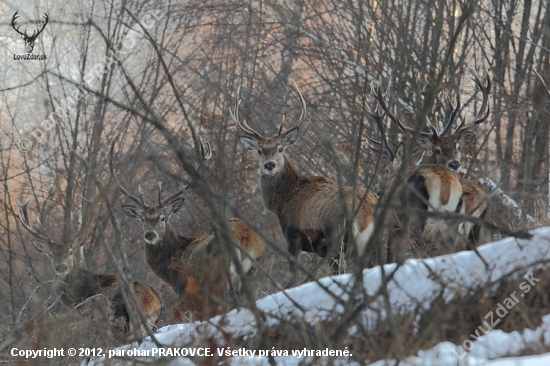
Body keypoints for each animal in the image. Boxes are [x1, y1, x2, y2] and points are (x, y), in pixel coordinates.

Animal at [114, 142, 266, 318]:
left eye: (163, 218)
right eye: (142, 219)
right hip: (253, 274)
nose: (150, 234)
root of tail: (246, 238)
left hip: (220, 278)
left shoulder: (185, 289)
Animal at [232, 81, 380, 280]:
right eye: (259, 150)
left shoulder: (293, 236)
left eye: (280, 148)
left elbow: (293, 275)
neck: (282, 202)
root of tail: (365, 210)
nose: (269, 165)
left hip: (336, 237)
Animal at [376, 76, 492, 249]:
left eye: (458, 147)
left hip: (417, 216)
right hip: (462, 228)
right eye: (437, 149)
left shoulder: (393, 221)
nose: (455, 164)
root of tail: (445, 187)